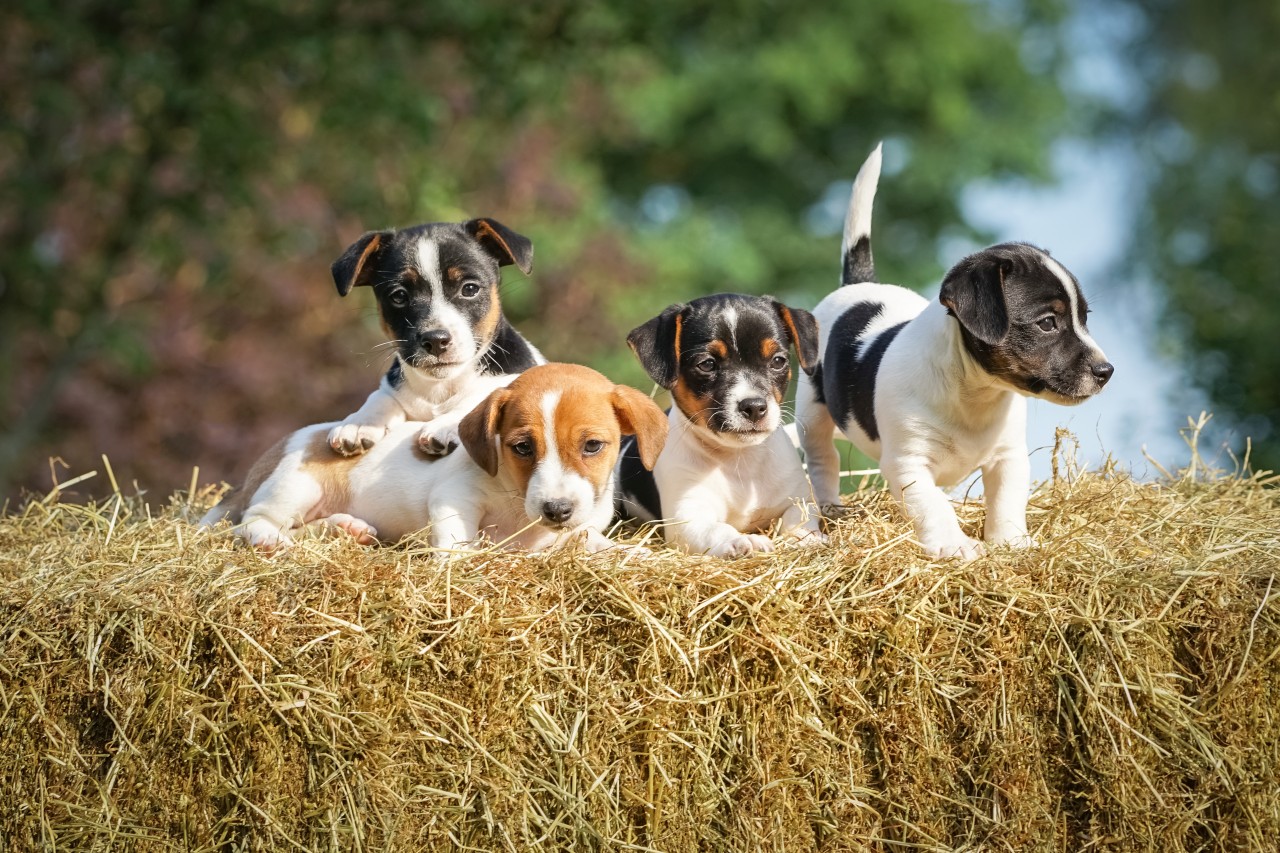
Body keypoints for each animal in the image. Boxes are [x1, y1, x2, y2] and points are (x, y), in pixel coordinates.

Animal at [202, 363, 670, 550]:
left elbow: (603, 545)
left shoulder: (581, 533)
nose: (556, 509)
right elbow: (455, 543)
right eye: (522, 447)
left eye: (592, 446)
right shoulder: (453, 498)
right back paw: (268, 539)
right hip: (294, 485)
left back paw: (347, 529)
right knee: (253, 521)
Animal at [327, 219, 542, 458]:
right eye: (399, 296)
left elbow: (480, 397)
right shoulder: (393, 388)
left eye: (469, 289)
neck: (440, 387)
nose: (436, 340)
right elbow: (380, 396)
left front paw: (446, 424)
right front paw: (358, 422)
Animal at [619, 294, 829, 558]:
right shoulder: (687, 517)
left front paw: (806, 538)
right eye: (707, 364)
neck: (739, 460)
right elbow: (717, 529)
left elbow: (797, 520)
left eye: (778, 361)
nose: (754, 407)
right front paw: (743, 540)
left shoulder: (799, 499)